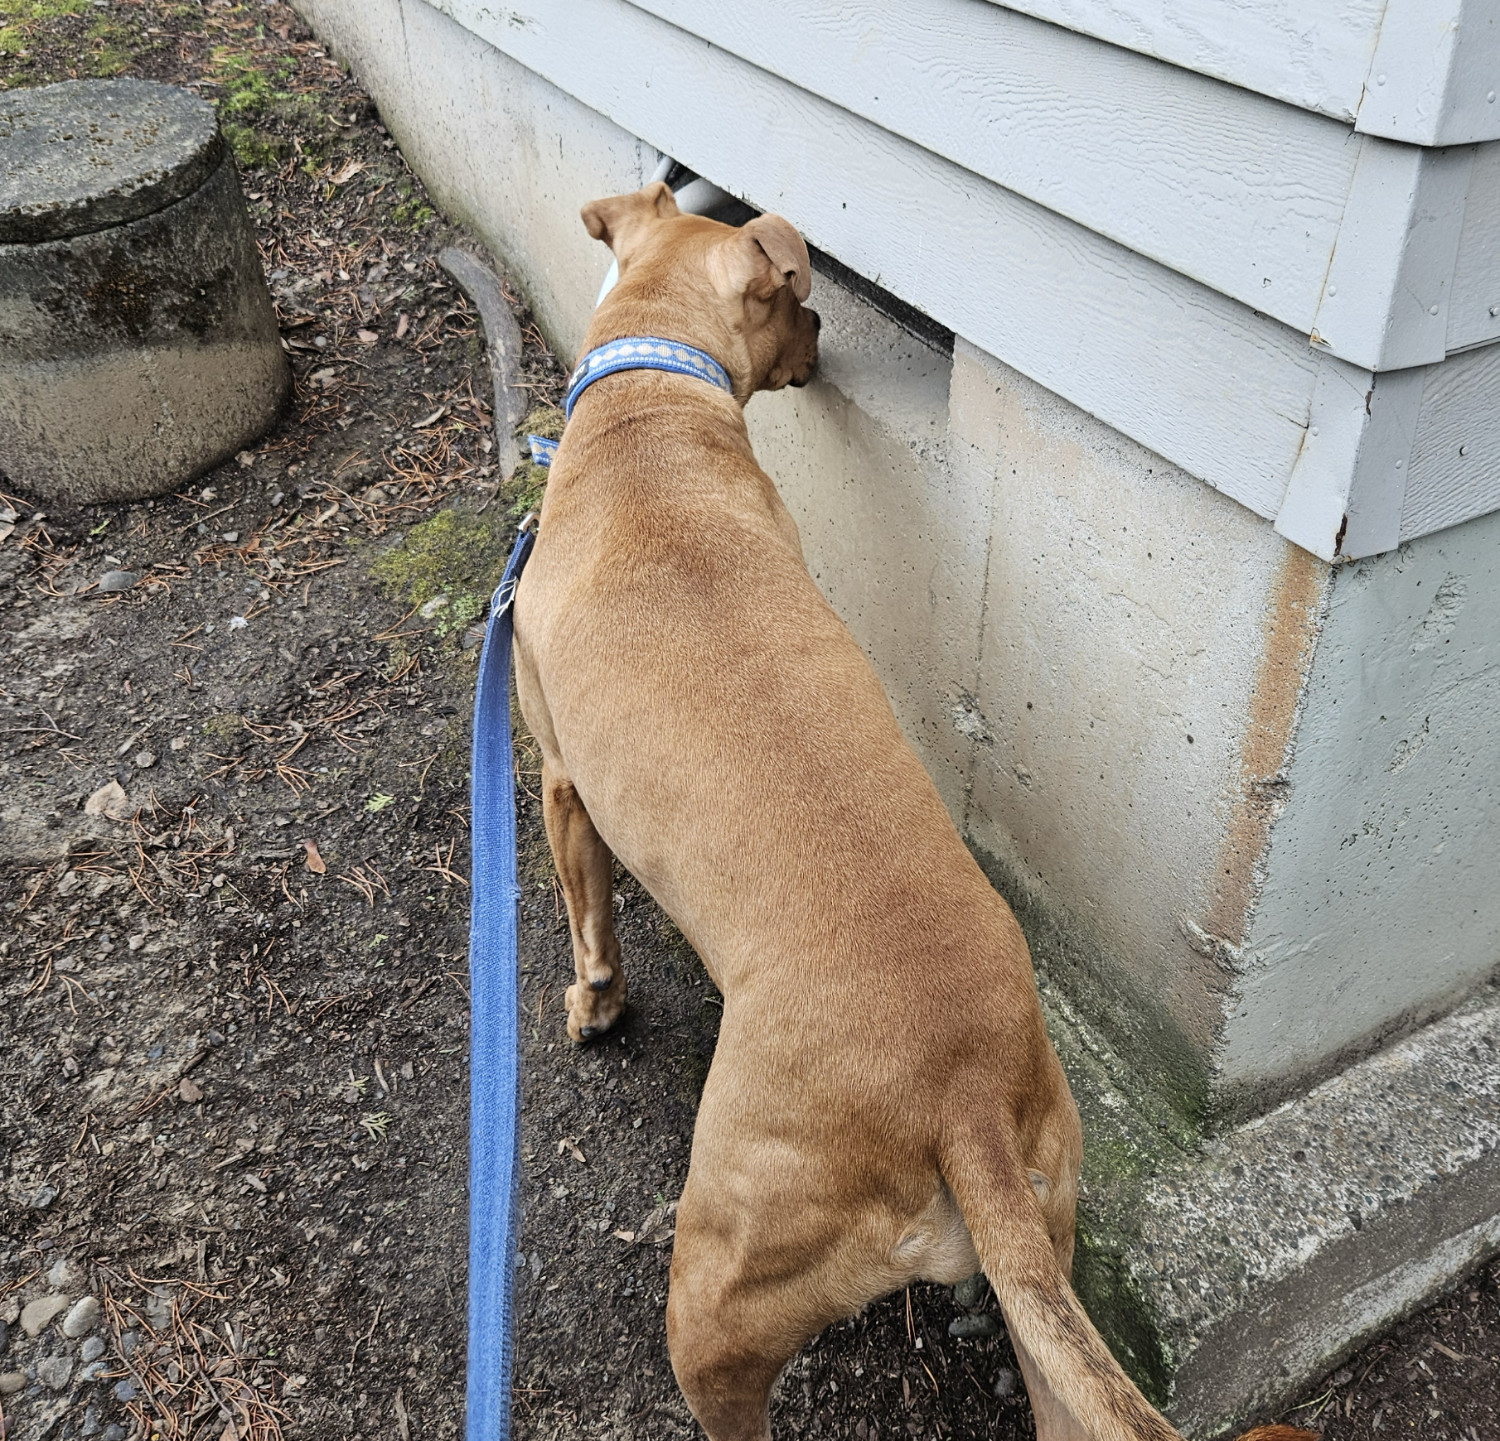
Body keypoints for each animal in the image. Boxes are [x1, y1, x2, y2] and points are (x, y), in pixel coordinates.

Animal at [510, 176, 1308, 1439]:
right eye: (793, 297)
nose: (827, 330)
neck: (650, 413)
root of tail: (963, 1092)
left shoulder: (556, 779)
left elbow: (592, 928)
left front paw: (595, 1007)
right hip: (1047, 1230)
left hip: (722, 1284)